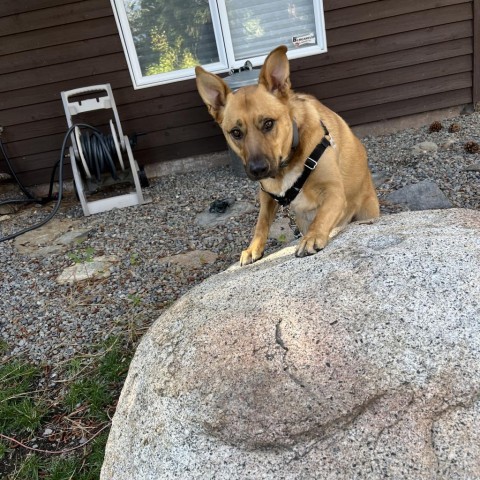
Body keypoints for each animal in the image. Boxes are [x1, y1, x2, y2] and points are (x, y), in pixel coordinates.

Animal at [195, 45, 378, 266]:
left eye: (268, 123)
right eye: (236, 133)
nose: (258, 170)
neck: (287, 165)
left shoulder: (334, 192)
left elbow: (322, 216)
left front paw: (312, 237)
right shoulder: (267, 195)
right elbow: (261, 222)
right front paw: (253, 248)